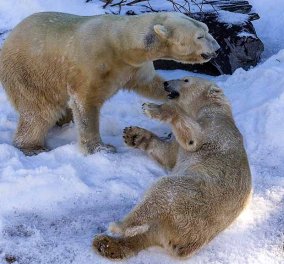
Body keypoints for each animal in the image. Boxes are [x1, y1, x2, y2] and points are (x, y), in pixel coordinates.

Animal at [0, 11, 220, 155]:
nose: (217, 48)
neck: (120, 42)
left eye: (207, 29)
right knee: (39, 111)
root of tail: (10, 36)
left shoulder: (132, 66)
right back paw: (33, 146)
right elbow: (85, 102)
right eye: (200, 36)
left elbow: (150, 83)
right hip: (31, 72)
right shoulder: (92, 61)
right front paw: (101, 148)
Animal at [92, 77, 252, 258]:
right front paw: (133, 134)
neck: (216, 107)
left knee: (161, 193)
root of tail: (187, 243)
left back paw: (119, 225)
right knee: (148, 234)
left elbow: (193, 138)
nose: (166, 83)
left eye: (186, 79)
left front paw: (152, 108)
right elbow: (169, 155)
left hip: (190, 201)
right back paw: (105, 244)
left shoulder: (216, 125)